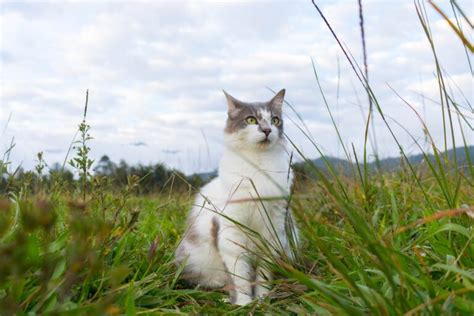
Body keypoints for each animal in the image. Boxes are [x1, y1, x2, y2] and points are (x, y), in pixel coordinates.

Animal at [174, 89, 300, 306]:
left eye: (275, 120)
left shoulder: (272, 231)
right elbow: (240, 276)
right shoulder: (232, 233)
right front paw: (243, 303)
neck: (258, 165)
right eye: (251, 120)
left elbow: (263, 275)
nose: (267, 130)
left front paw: (262, 299)